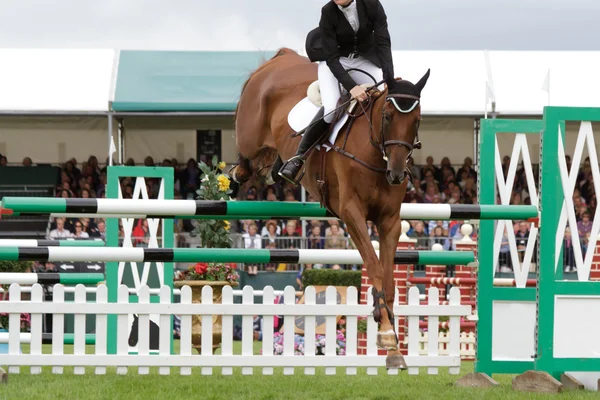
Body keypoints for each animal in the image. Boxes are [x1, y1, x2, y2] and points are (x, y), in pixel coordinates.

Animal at [232, 47, 428, 368]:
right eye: (387, 117)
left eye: (417, 120)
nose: (398, 174)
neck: (375, 152)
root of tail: (281, 59)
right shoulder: (352, 215)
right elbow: (374, 266)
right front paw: (387, 333)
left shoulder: (389, 221)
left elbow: (388, 279)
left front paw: (392, 347)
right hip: (250, 134)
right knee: (247, 156)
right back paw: (241, 173)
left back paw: (277, 169)